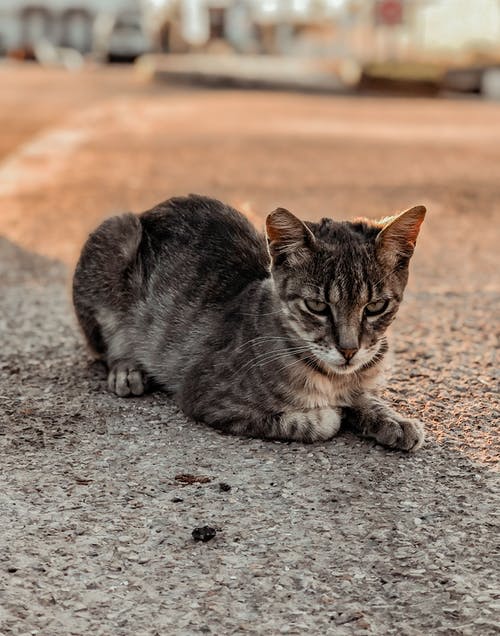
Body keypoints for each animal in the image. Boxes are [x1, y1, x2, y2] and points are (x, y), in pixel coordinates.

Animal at [73, 196, 426, 450]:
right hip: (118, 234)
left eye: (376, 306)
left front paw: (391, 418)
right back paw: (127, 368)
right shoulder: (206, 394)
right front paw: (332, 413)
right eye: (317, 306)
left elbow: (363, 396)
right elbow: (317, 422)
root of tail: (147, 211)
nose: (349, 350)